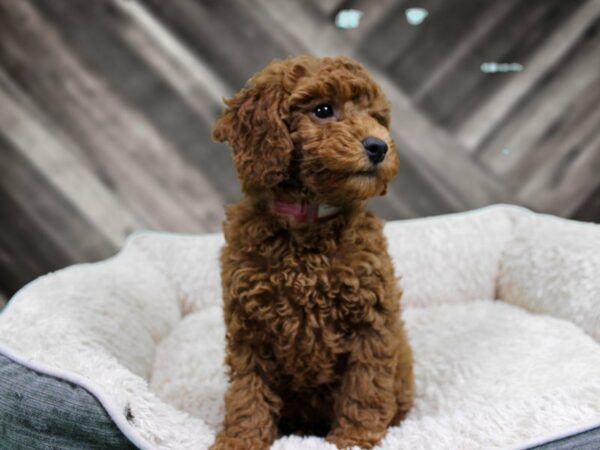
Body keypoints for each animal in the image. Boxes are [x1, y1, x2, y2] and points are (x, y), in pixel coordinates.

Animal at [210, 53, 412, 450]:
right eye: (323, 110)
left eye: (377, 118)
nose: (379, 146)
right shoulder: (249, 325)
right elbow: (247, 389)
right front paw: (240, 439)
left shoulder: (372, 320)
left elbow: (365, 385)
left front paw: (354, 438)